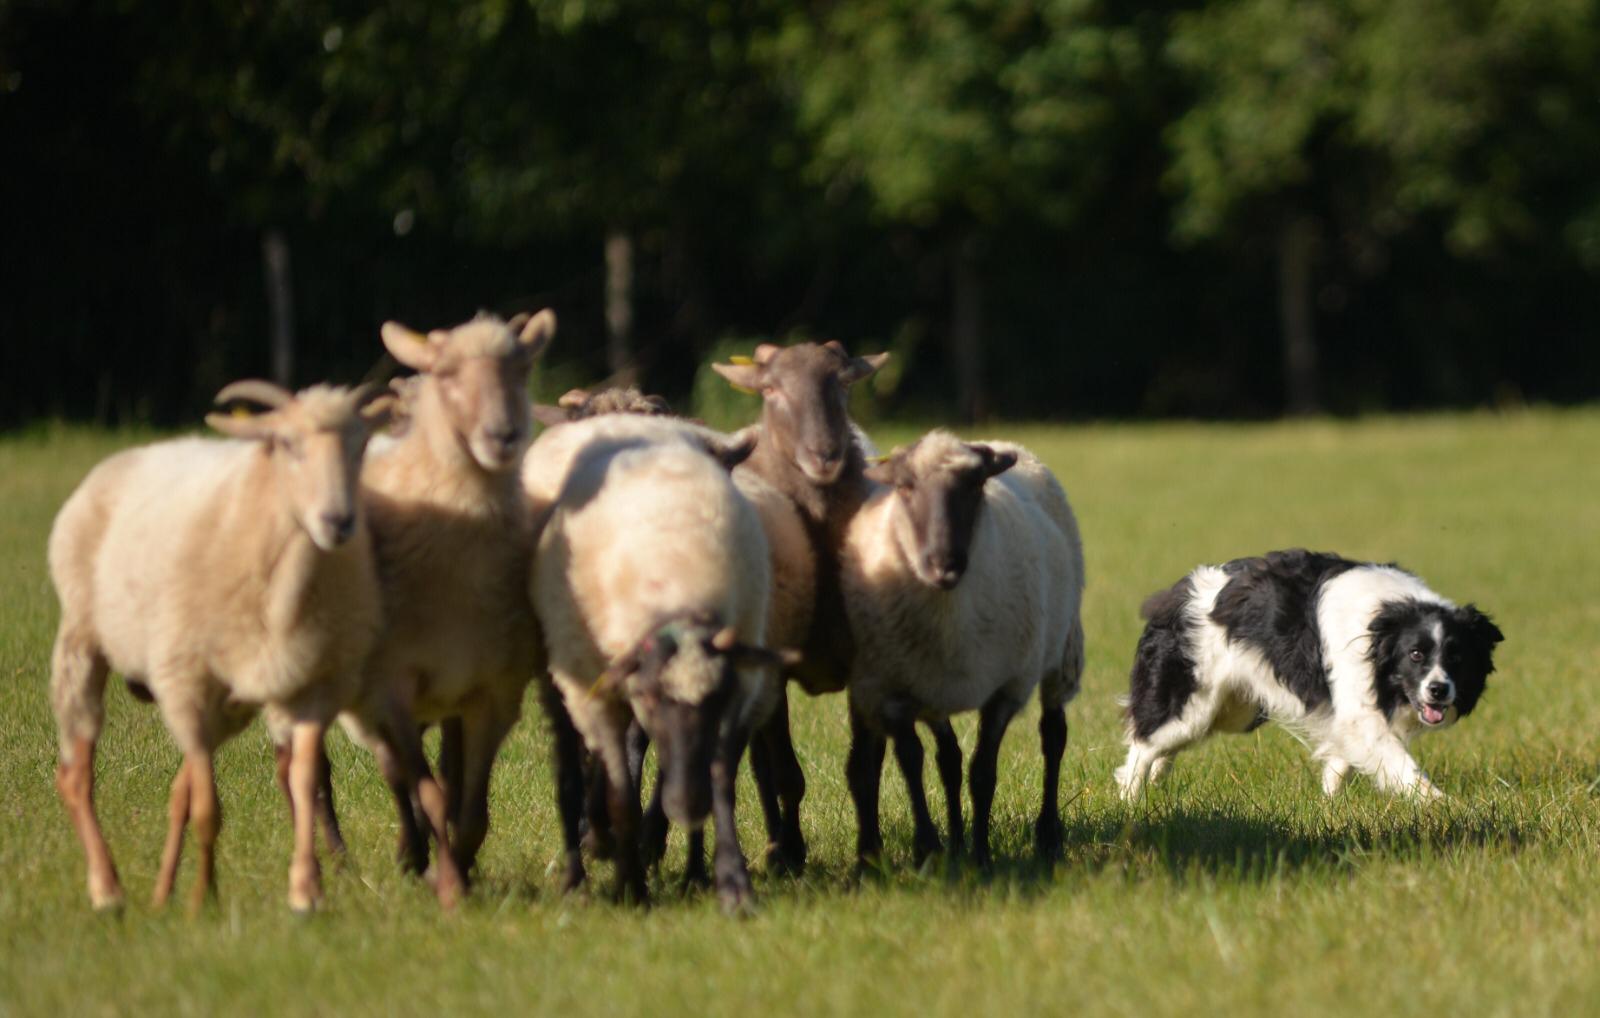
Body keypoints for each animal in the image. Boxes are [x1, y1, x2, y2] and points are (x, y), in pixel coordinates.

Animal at [45, 380, 395, 915]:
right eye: (285, 444)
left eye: (360, 447)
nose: (338, 521)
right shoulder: (189, 687)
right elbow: (211, 805)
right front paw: (200, 901)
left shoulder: (310, 684)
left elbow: (303, 778)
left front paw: (309, 888)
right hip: (83, 644)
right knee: (77, 775)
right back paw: (109, 890)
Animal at [331, 305, 556, 889]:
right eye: (447, 373)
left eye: (522, 368)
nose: (504, 435)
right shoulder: (390, 686)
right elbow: (425, 792)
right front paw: (446, 881)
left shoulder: (495, 692)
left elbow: (471, 809)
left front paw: (460, 865)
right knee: (361, 772)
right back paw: (373, 856)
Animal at [710, 337, 889, 870]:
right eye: (770, 388)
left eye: (843, 383)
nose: (826, 454)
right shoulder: (775, 667)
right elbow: (785, 773)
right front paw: (789, 852)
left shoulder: (867, 664)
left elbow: (864, 769)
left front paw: (869, 855)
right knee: (761, 764)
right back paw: (774, 844)